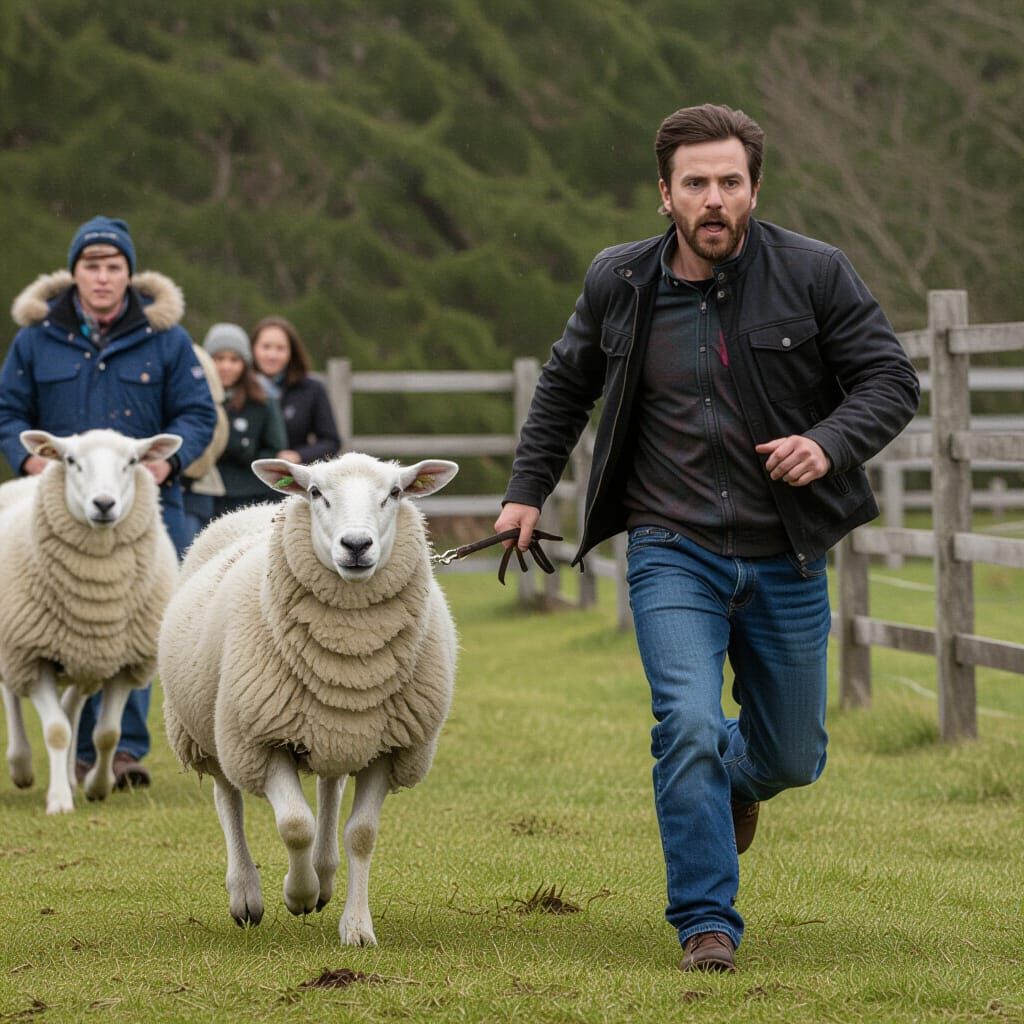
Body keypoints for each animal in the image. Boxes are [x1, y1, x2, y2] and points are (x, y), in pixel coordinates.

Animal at [158, 451, 459, 946]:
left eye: (394, 493)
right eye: (316, 493)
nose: (356, 545)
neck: (350, 649)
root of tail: (257, 506)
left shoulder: (389, 747)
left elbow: (361, 834)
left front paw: (356, 927)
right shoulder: (261, 740)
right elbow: (296, 826)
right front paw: (297, 894)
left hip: (333, 728)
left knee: (329, 788)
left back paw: (325, 873)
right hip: (209, 729)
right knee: (228, 799)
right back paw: (247, 893)